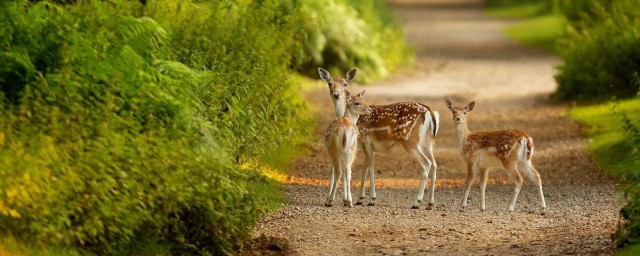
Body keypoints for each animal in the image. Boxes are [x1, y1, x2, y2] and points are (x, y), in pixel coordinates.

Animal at [318, 68, 440, 210]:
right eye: (330, 83)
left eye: (345, 84)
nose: (336, 94)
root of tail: (430, 112)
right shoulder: (365, 146)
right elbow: (363, 169)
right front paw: (360, 199)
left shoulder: (366, 141)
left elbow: (370, 168)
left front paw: (371, 199)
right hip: (427, 143)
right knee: (435, 165)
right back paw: (430, 203)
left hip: (410, 141)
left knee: (426, 164)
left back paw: (416, 202)